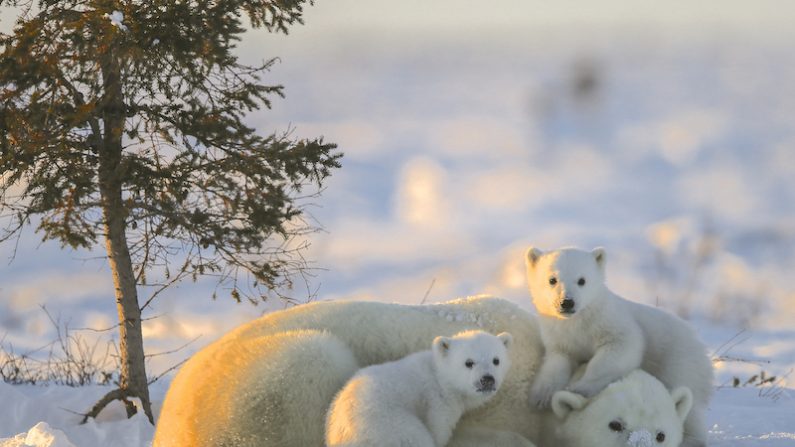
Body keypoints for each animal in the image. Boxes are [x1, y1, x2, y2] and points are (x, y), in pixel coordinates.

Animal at [326, 330, 512, 446]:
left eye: (496, 360)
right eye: (469, 362)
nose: (487, 380)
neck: (439, 377)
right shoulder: (439, 403)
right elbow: (438, 431)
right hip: (389, 427)